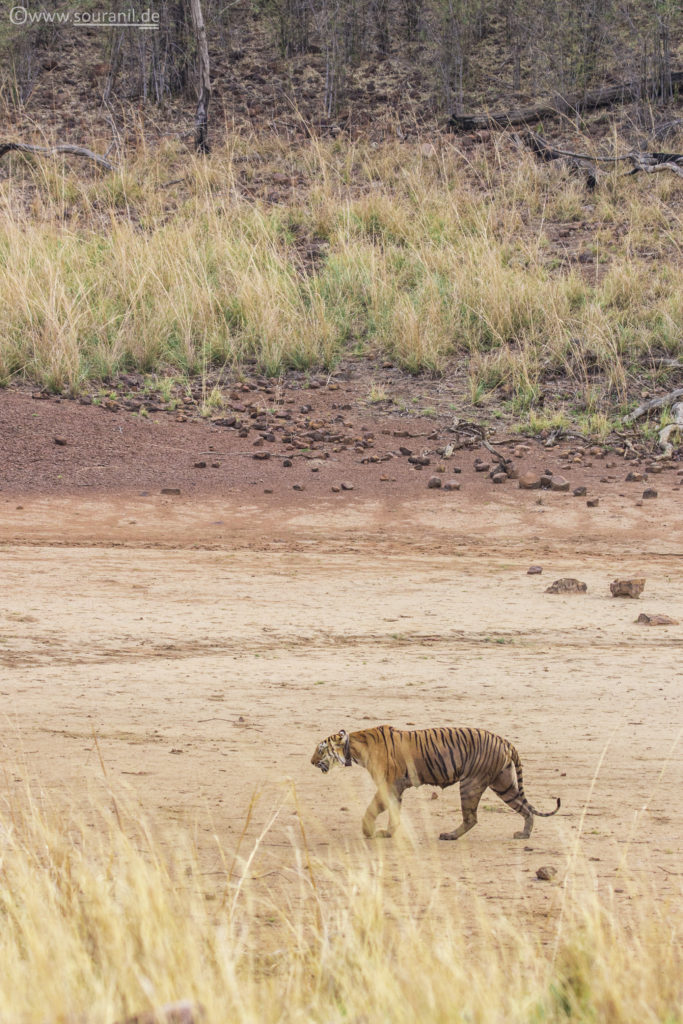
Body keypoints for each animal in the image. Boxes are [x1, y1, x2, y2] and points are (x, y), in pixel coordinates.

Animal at [313, 720, 557, 839]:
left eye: (320, 749)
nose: (311, 761)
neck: (353, 747)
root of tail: (504, 740)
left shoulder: (388, 785)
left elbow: (373, 809)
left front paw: (368, 831)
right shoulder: (395, 788)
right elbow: (393, 812)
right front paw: (389, 832)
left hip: (470, 784)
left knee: (472, 818)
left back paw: (449, 836)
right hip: (503, 783)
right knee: (524, 808)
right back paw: (524, 834)